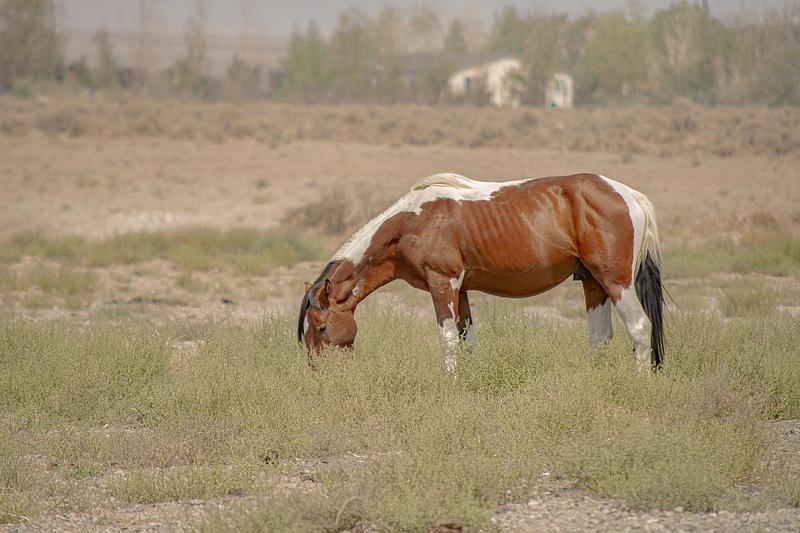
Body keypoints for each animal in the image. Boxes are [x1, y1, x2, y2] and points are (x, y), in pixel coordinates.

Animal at [298, 172, 664, 373]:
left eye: (322, 327)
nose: (318, 371)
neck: (410, 224)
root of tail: (630, 195)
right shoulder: (460, 291)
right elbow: (467, 340)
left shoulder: (442, 284)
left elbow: (447, 339)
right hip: (592, 283)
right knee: (599, 337)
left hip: (615, 282)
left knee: (639, 327)